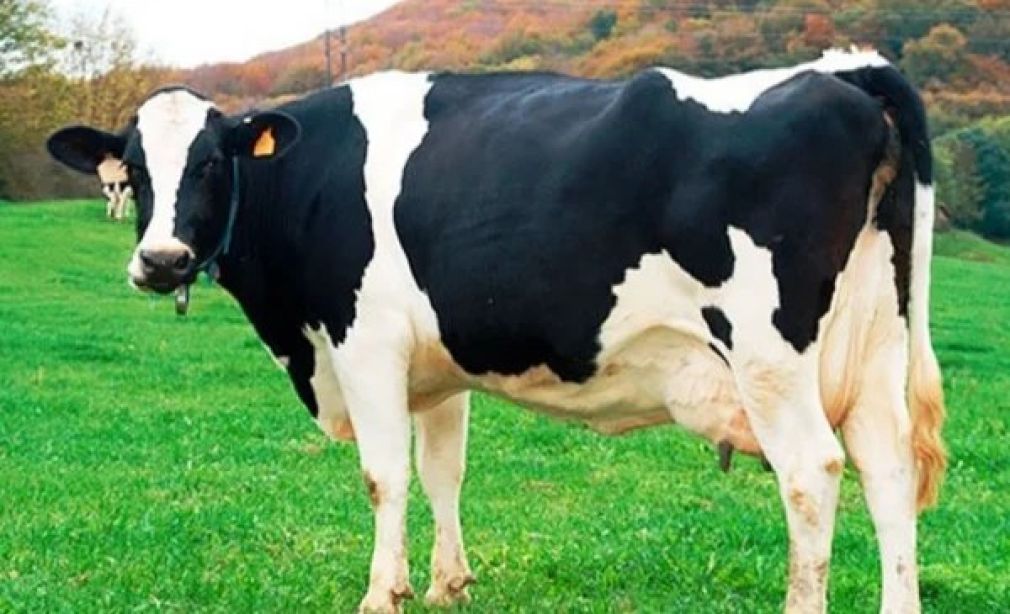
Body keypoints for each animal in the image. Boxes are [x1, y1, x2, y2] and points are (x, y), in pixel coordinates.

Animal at [46, 49, 946, 613]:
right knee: (889, 472)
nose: (160, 260)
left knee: (813, 474)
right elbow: (443, 472)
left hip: (770, 354)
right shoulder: (437, 368)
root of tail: (847, 73)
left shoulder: (365, 343)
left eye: (210, 163)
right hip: (875, 347)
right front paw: (448, 583)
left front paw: (382, 593)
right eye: (131, 169)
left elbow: (384, 476)